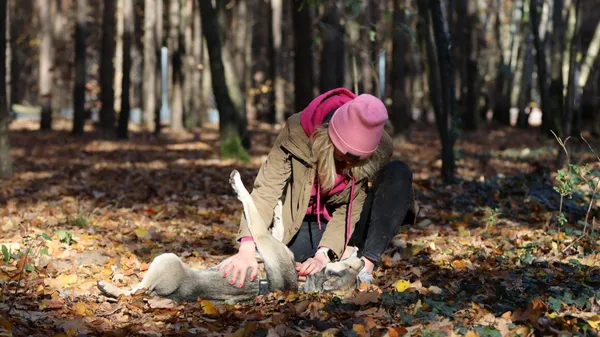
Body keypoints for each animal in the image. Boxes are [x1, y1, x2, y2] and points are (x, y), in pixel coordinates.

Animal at [96, 169, 364, 304]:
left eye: (349, 270)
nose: (361, 259)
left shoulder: (263, 239)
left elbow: (251, 207)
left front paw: (237, 183)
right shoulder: (266, 247)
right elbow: (274, 229)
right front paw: (278, 209)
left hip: (166, 260)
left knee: (134, 291)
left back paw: (108, 286)